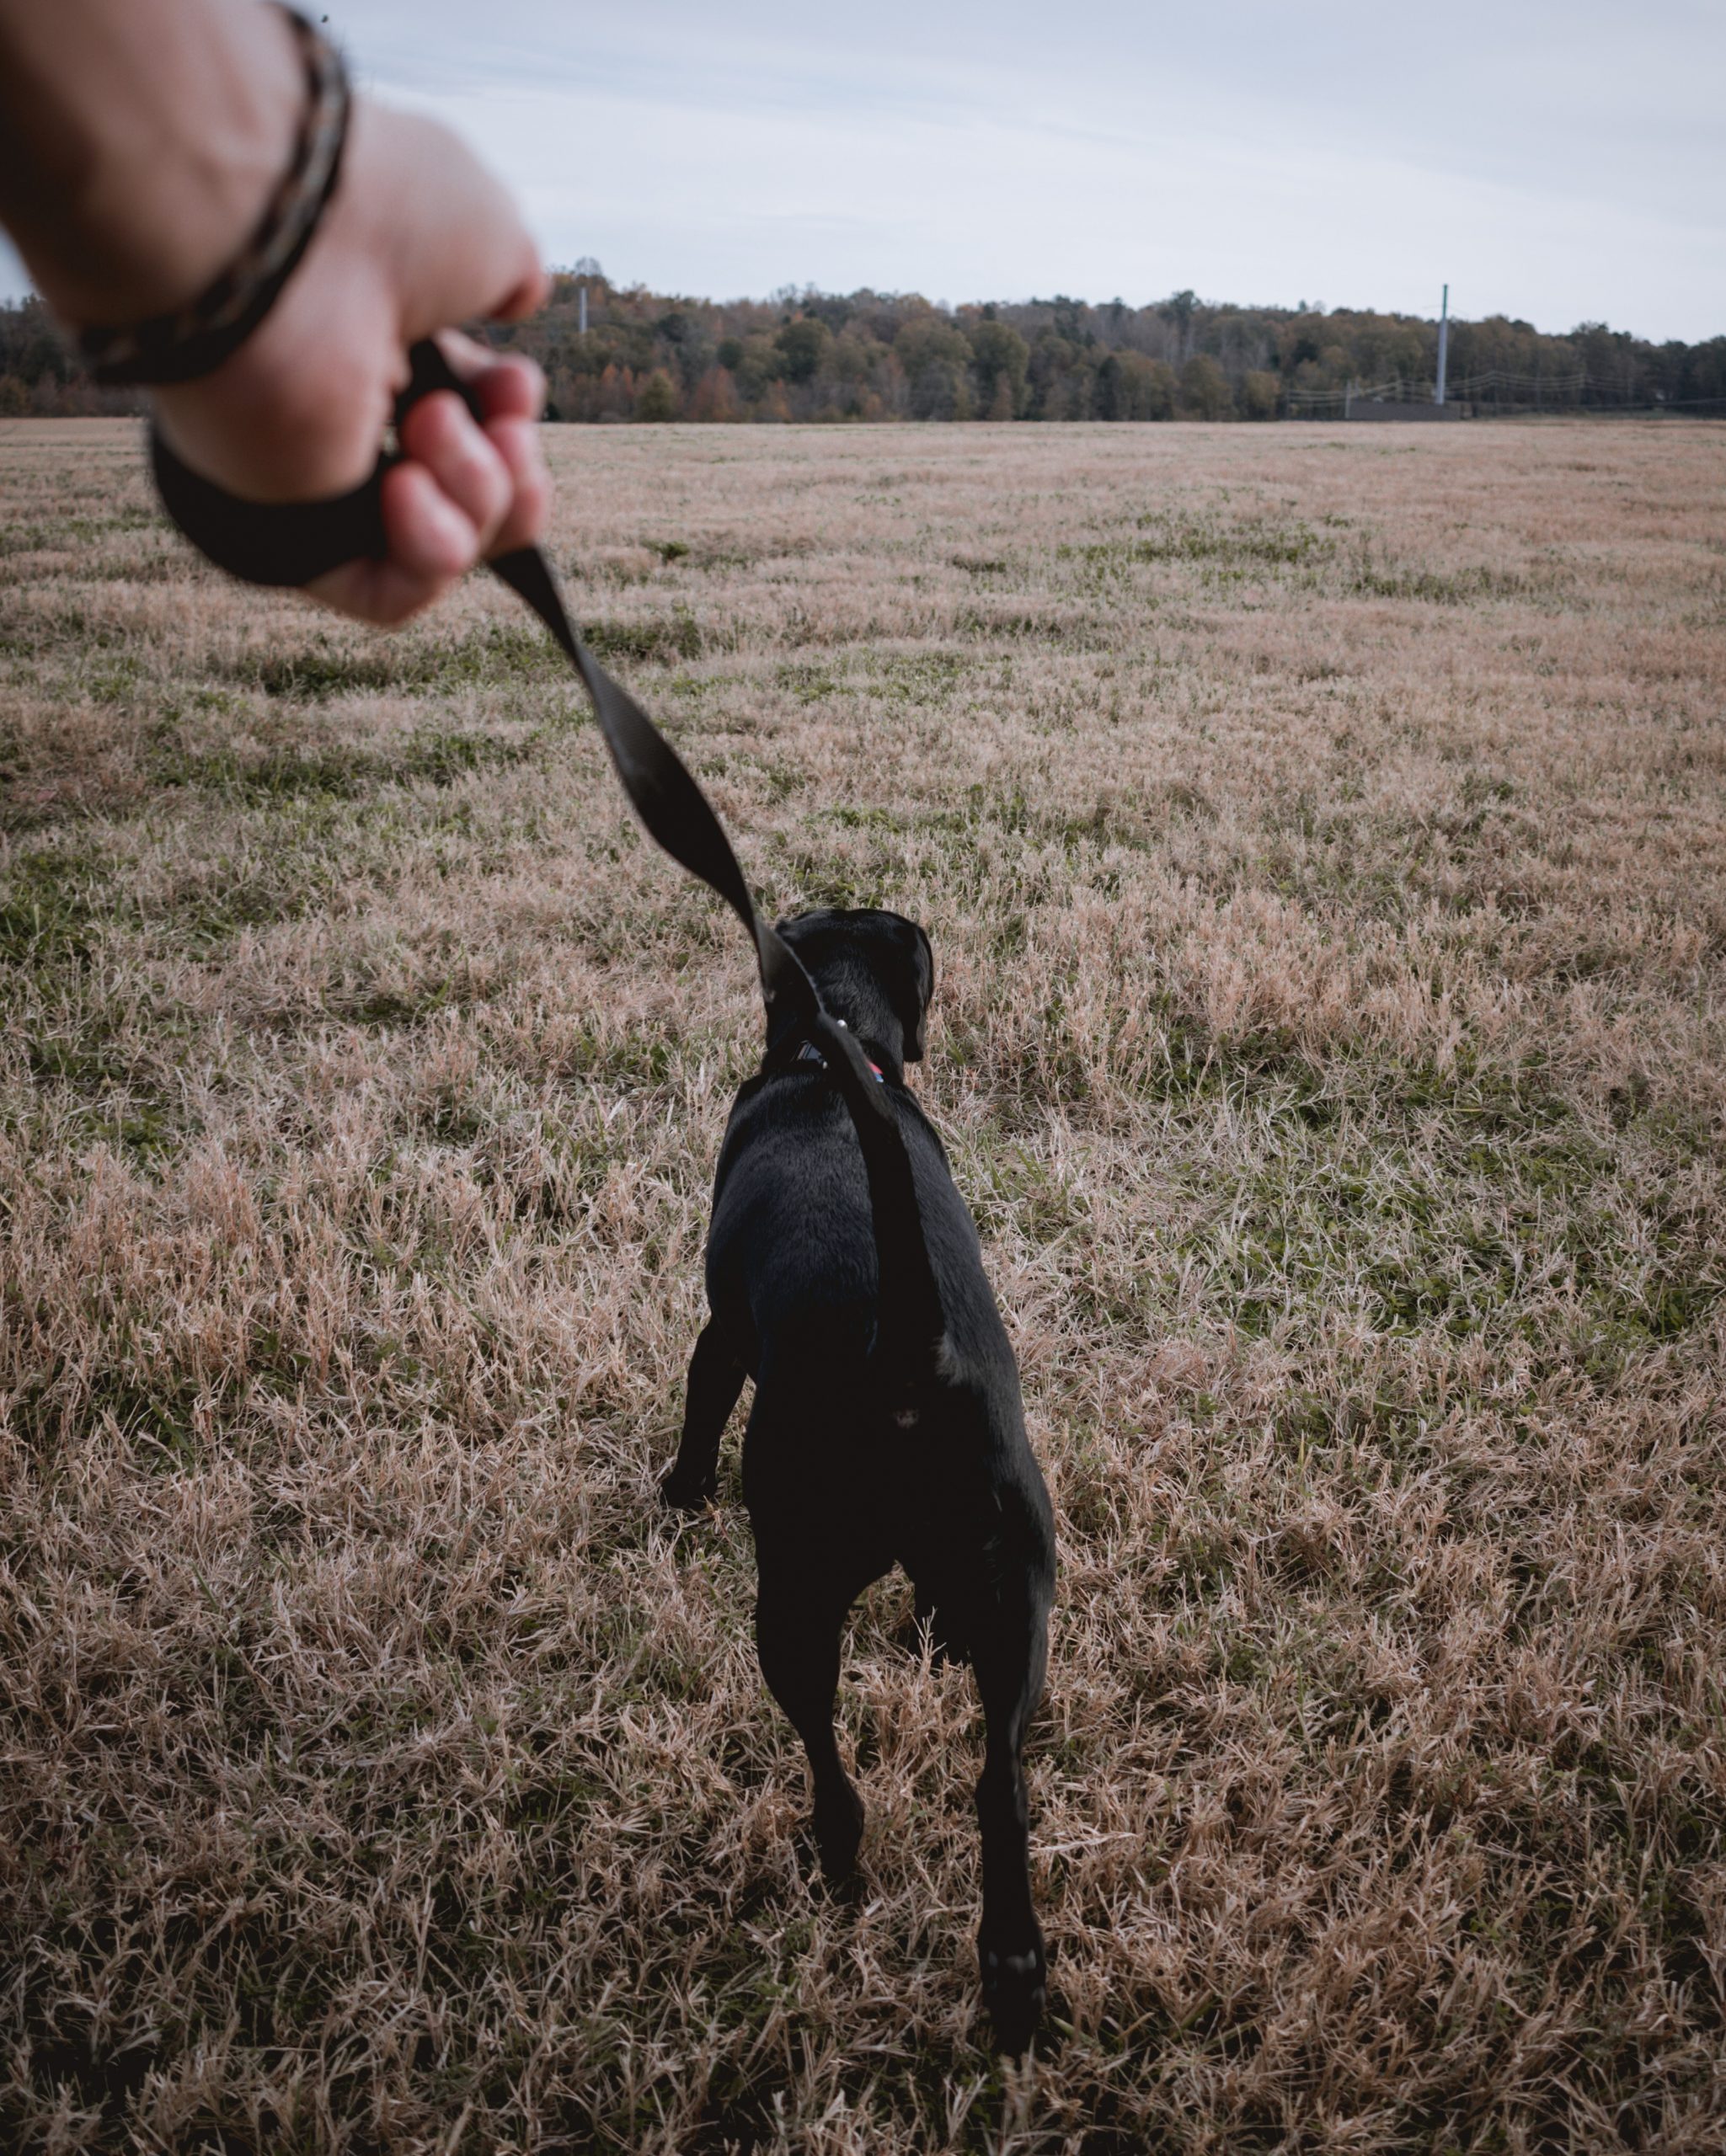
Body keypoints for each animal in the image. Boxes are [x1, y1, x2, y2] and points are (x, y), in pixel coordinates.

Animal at [660, 901, 1057, 2043]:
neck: (830, 1049)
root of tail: (909, 1350)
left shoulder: (722, 1334)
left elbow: (699, 1404)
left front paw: (679, 1491)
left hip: (792, 1593)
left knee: (827, 1755)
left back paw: (835, 1854)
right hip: (1022, 1590)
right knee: (1000, 1781)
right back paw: (1012, 1965)